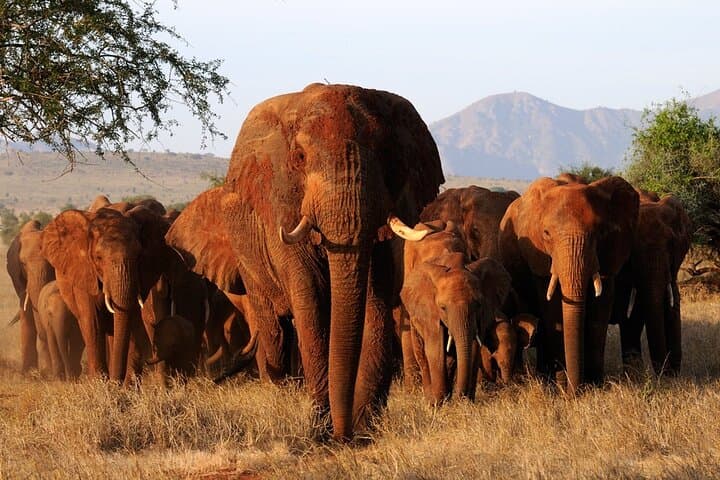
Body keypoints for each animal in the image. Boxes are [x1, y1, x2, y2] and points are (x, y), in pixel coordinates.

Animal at [166, 83, 444, 441]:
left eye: (388, 157)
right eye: (299, 158)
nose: (343, 434)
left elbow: (375, 301)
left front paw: (364, 431)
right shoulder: (280, 210)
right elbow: (311, 301)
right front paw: (321, 431)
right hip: (248, 259)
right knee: (275, 329)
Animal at [499, 175, 639, 392]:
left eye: (600, 233)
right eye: (546, 233)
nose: (575, 392)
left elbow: (601, 309)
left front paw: (596, 386)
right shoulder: (540, 260)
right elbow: (553, 310)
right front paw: (562, 386)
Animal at [611, 191, 691, 376]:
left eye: (671, 244)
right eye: (631, 250)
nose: (670, 373)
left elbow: (635, 316)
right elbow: (630, 317)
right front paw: (636, 377)